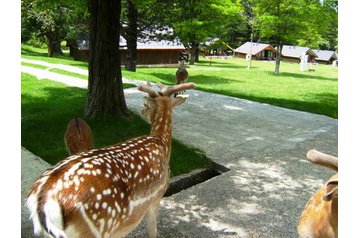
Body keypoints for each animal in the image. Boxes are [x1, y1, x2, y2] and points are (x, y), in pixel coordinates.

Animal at [26, 81, 197, 237]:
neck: (162, 143)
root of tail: (42, 202)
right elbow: (152, 231)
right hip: (97, 228)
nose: (141, 110)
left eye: (145, 104)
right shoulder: (156, 196)